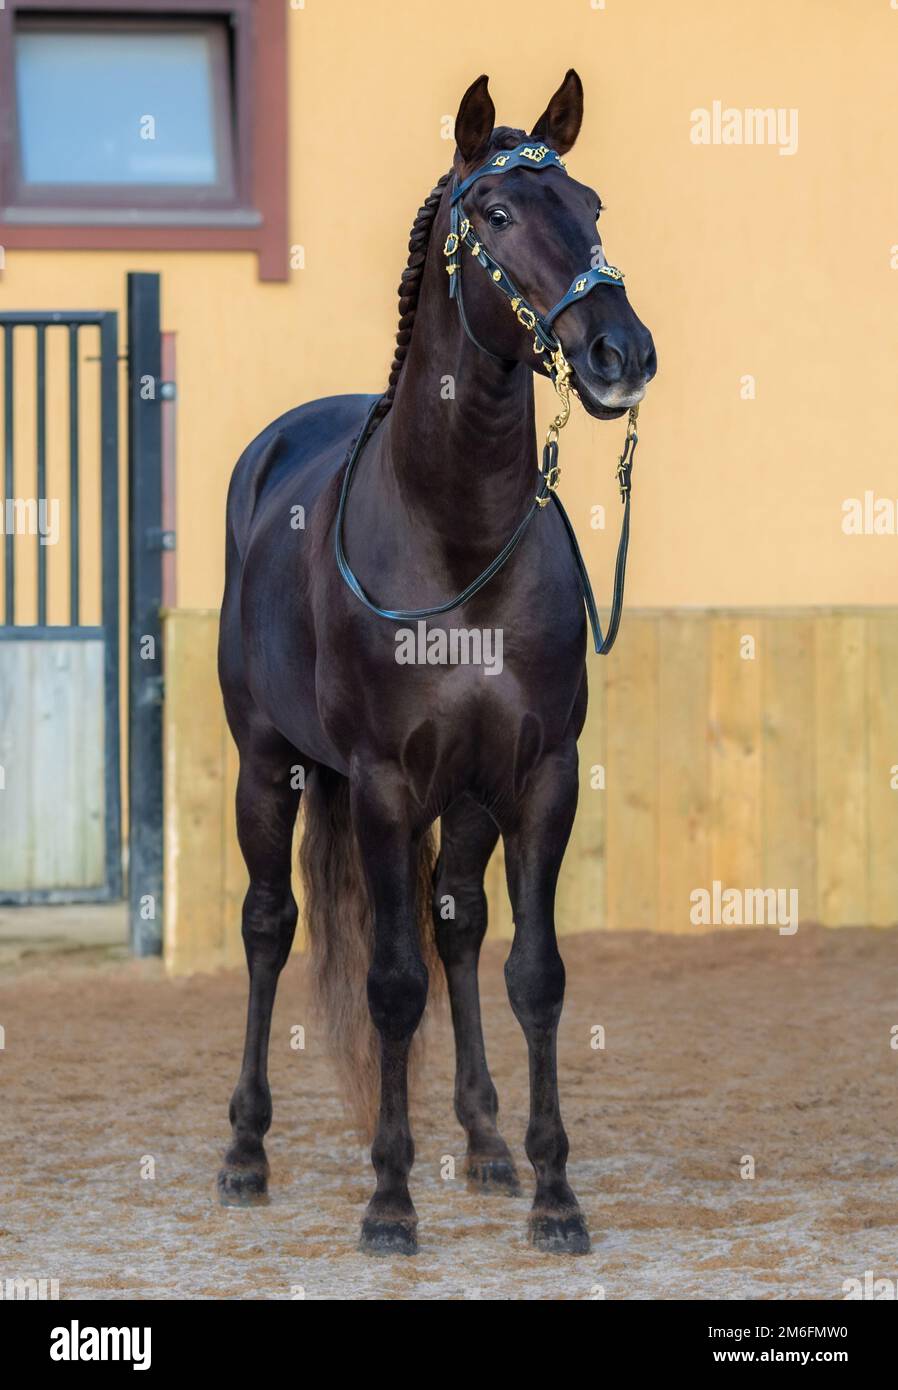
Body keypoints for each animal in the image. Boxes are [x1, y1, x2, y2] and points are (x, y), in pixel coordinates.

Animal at [216, 70, 653, 1256]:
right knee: (269, 927)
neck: (454, 535)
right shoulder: (380, 784)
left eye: (593, 204)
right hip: (265, 766)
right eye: (494, 213)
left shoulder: (537, 776)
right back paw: (245, 1154)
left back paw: (489, 1145)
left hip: (465, 797)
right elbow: (391, 982)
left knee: (458, 924)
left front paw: (554, 1194)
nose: (622, 354)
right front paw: (388, 1202)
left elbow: (532, 973)